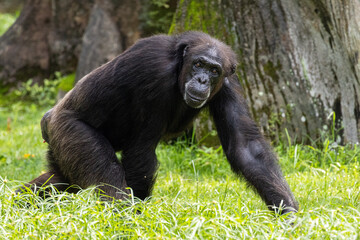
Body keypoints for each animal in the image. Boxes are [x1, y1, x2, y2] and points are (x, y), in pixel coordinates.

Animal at [21, 31, 298, 214]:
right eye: (199, 63)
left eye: (214, 71)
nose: (202, 80)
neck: (178, 69)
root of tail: (48, 119)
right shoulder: (154, 75)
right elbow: (141, 153)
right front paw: (138, 219)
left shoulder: (229, 87)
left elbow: (246, 149)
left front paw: (289, 215)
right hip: (71, 131)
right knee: (106, 173)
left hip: (61, 147)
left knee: (57, 181)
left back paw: (21, 202)